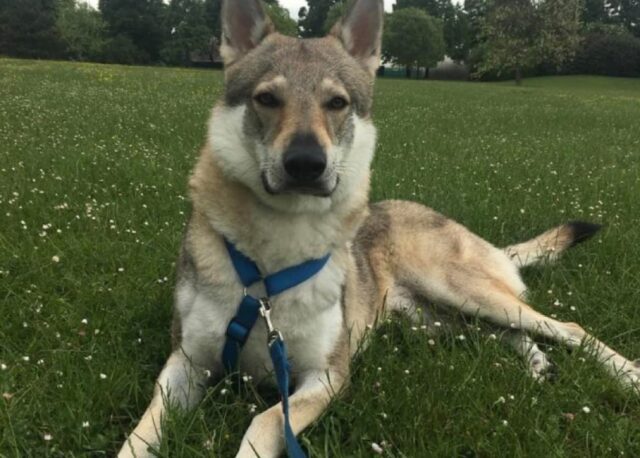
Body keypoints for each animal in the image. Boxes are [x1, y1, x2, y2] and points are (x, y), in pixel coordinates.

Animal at [120, 1, 640, 456]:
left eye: (337, 103)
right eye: (266, 99)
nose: (306, 162)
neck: (272, 263)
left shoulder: (327, 375)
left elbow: (263, 423)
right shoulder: (185, 363)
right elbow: (140, 432)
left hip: (462, 292)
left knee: (565, 326)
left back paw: (627, 375)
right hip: (441, 322)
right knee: (508, 334)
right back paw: (539, 365)